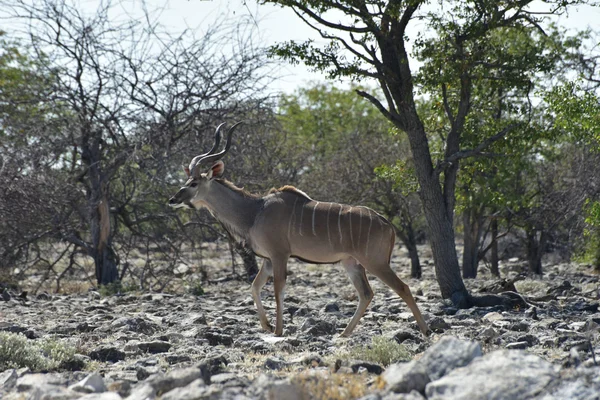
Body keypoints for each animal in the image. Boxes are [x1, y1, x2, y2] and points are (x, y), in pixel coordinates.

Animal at [169, 123, 432, 336]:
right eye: (186, 181)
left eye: (194, 183)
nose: (173, 199)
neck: (255, 211)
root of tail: (387, 223)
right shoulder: (267, 259)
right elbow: (254, 287)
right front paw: (266, 326)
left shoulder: (279, 255)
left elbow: (278, 290)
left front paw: (277, 330)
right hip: (351, 263)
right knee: (366, 294)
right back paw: (344, 334)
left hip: (375, 261)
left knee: (403, 287)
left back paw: (426, 330)